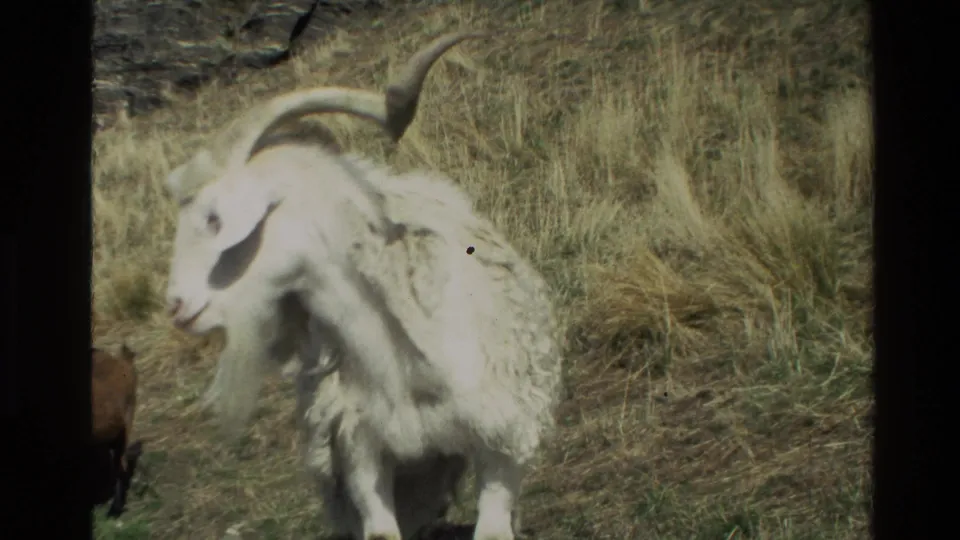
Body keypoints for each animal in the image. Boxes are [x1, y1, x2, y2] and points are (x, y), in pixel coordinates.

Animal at [161, 30, 563, 540]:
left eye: (213, 218)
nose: (176, 306)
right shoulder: (358, 450)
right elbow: (379, 528)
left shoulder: (502, 436)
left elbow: (493, 526)